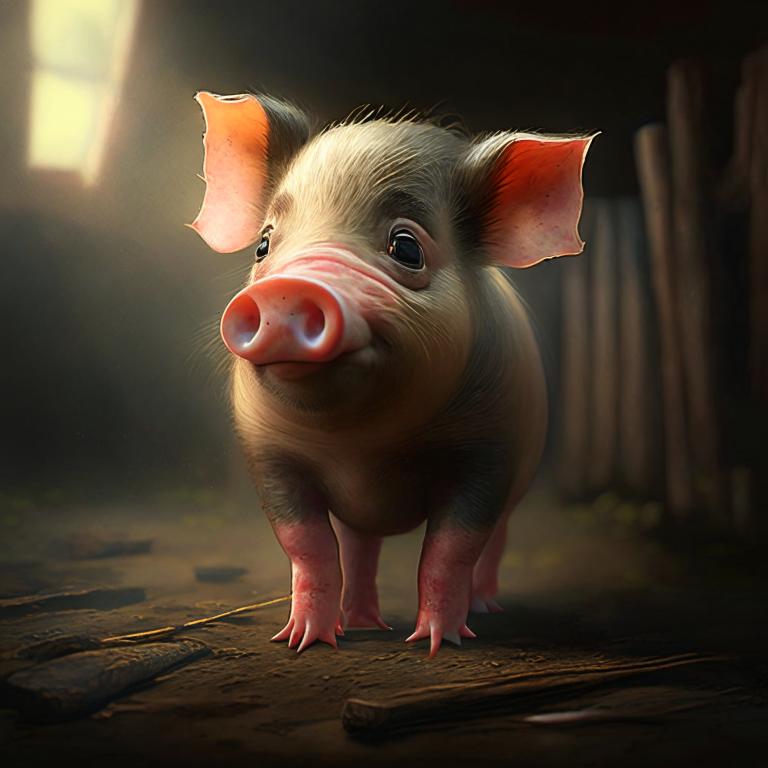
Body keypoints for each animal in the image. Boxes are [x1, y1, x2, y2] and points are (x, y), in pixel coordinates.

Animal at [190, 92, 594, 657]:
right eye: (263, 245)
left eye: (406, 247)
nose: (287, 289)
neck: (361, 445)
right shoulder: (270, 457)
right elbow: (309, 547)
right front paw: (301, 643)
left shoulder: (489, 453)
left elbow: (450, 550)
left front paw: (436, 644)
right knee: (360, 546)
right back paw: (362, 624)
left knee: (493, 545)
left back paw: (483, 609)